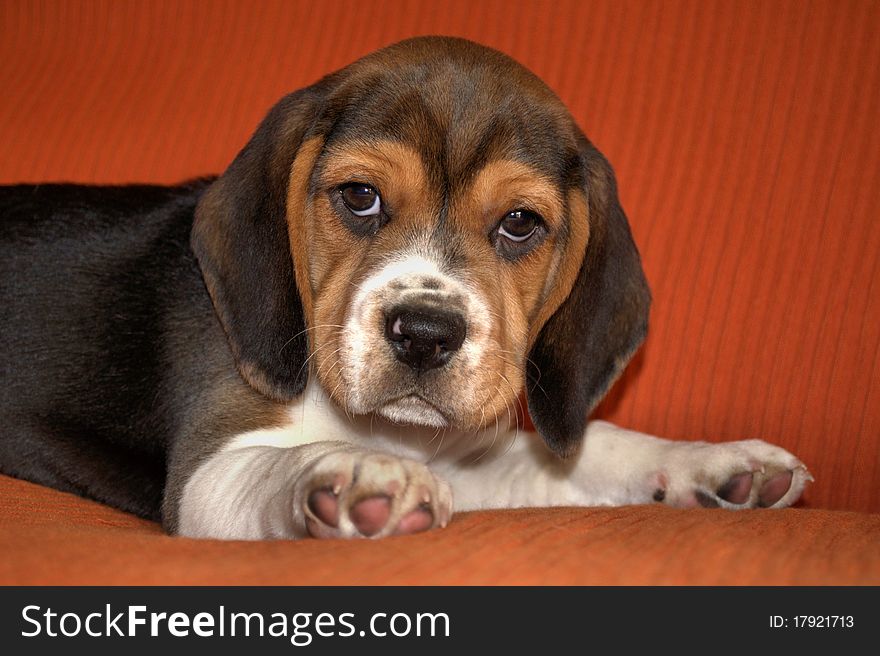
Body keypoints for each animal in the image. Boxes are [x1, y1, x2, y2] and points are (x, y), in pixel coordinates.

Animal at [0, 37, 812, 540]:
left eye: (520, 223)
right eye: (360, 197)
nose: (424, 333)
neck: (391, 429)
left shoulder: (468, 457)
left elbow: (585, 451)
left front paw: (713, 466)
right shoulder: (209, 472)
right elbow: (275, 466)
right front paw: (350, 472)